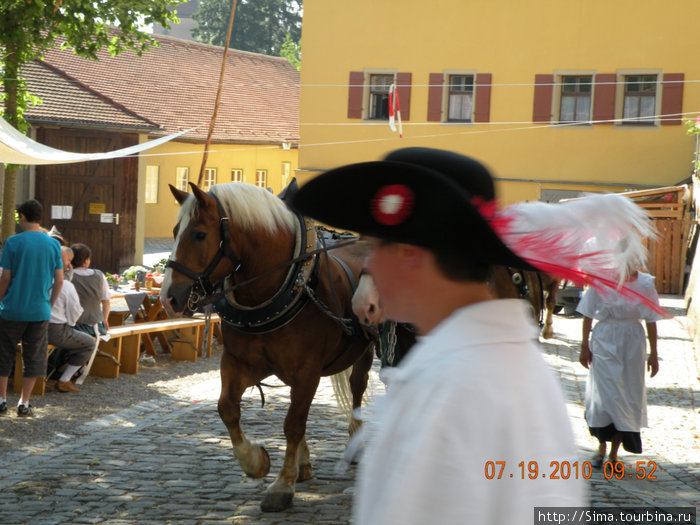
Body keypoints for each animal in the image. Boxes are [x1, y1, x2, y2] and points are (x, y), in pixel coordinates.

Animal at [161, 182, 374, 510]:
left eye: (199, 234)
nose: (168, 298)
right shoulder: (237, 361)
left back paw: (354, 440)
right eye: (174, 231)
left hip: (366, 350)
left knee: (357, 388)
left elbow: (293, 424)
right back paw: (303, 461)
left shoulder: (307, 370)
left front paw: (282, 485)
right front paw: (255, 462)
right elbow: (227, 408)